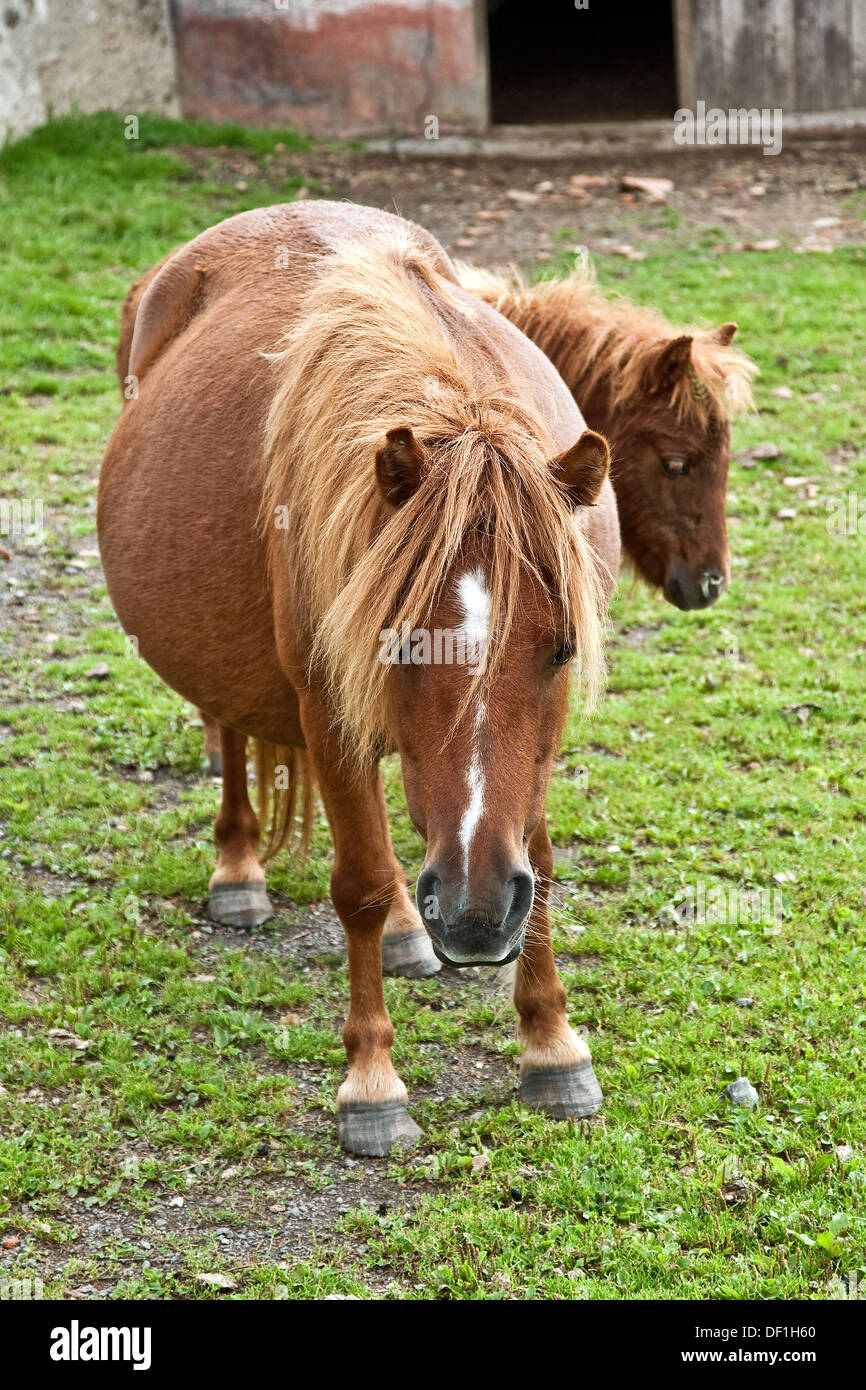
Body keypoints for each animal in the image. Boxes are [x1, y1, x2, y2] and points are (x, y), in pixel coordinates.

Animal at [99, 201, 620, 1156]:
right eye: (400, 643)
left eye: (562, 651)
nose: (476, 914)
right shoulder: (329, 714)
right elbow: (364, 884)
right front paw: (373, 1083)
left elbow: (537, 861)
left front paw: (552, 1043)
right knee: (234, 739)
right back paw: (240, 873)